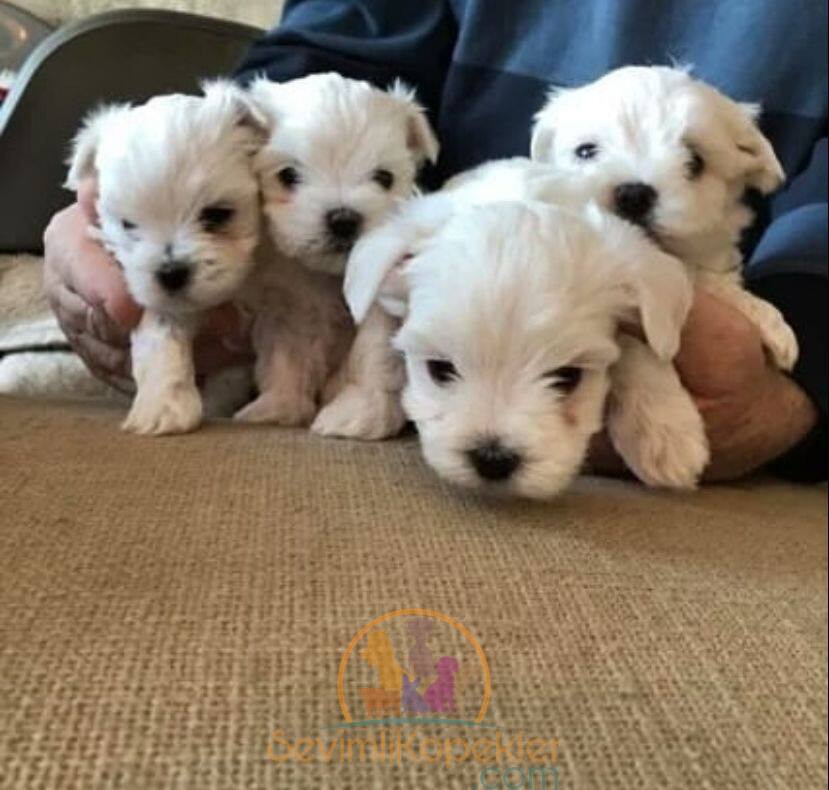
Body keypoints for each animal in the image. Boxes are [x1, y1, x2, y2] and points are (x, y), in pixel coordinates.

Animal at [69, 83, 268, 436]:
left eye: (217, 214)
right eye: (128, 225)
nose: (171, 273)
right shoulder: (163, 304)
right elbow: (162, 336)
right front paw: (162, 407)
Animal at [233, 74, 440, 434]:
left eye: (384, 178)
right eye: (288, 176)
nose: (344, 219)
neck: (332, 274)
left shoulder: (380, 303)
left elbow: (372, 354)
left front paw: (361, 412)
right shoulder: (287, 306)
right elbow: (286, 355)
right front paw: (279, 405)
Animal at [342, 180, 700, 502]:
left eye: (568, 377)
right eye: (439, 370)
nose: (492, 458)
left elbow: (642, 346)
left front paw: (668, 432)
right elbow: (374, 337)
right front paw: (361, 408)